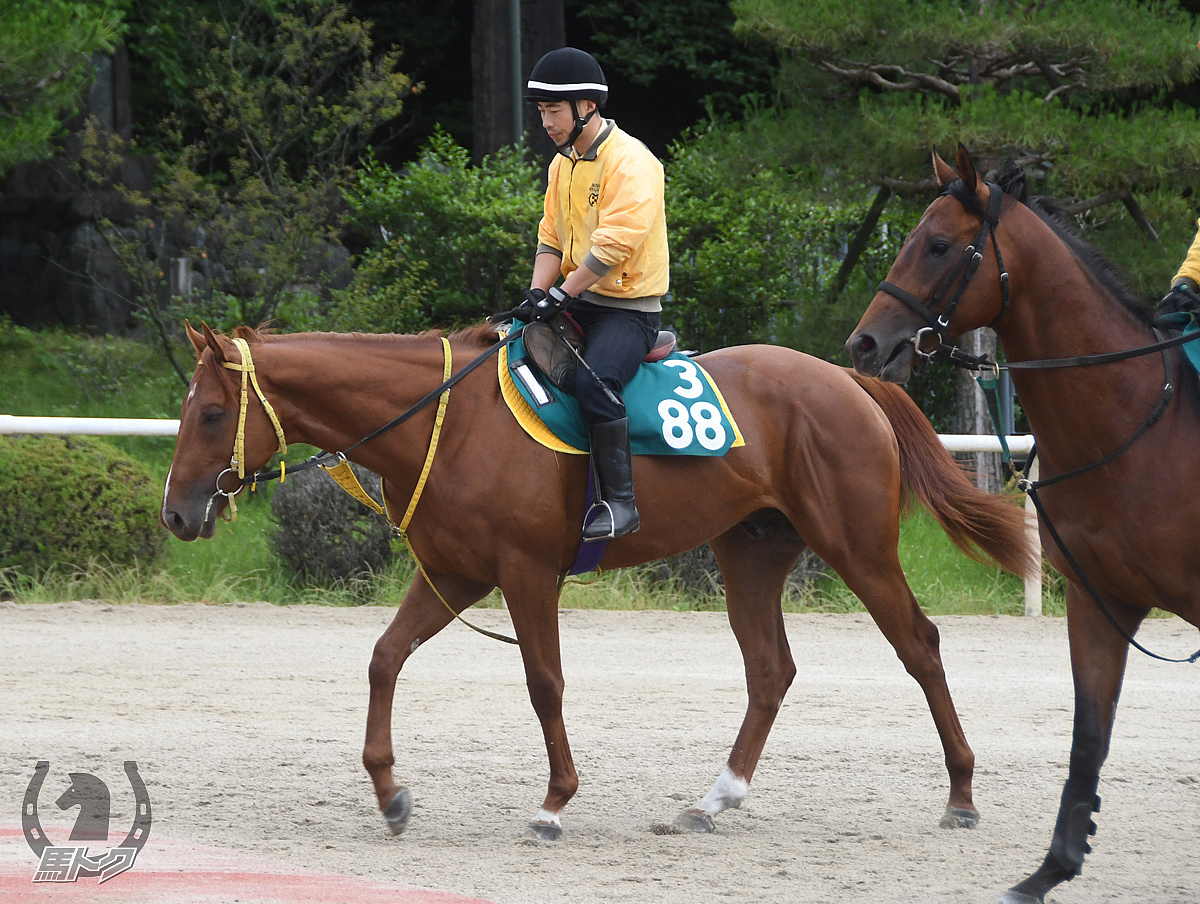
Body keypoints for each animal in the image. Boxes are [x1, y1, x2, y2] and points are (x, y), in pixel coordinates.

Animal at [164, 316, 1036, 840]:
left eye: (211, 413)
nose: (176, 513)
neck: (449, 420)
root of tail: (849, 381)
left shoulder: (524, 573)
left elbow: (543, 681)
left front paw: (555, 801)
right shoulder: (454, 571)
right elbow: (384, 658)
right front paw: (389, 791)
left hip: (859, 548)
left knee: (919, 645)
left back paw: (961, 794)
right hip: (751, 554)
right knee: (770, 670)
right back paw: (716, 796)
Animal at [849, 144, 1195, 897]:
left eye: (938, 245)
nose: (864, 346)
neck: (1136, 425)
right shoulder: (1101, 602)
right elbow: (1088, 736)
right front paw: (1049, 870)